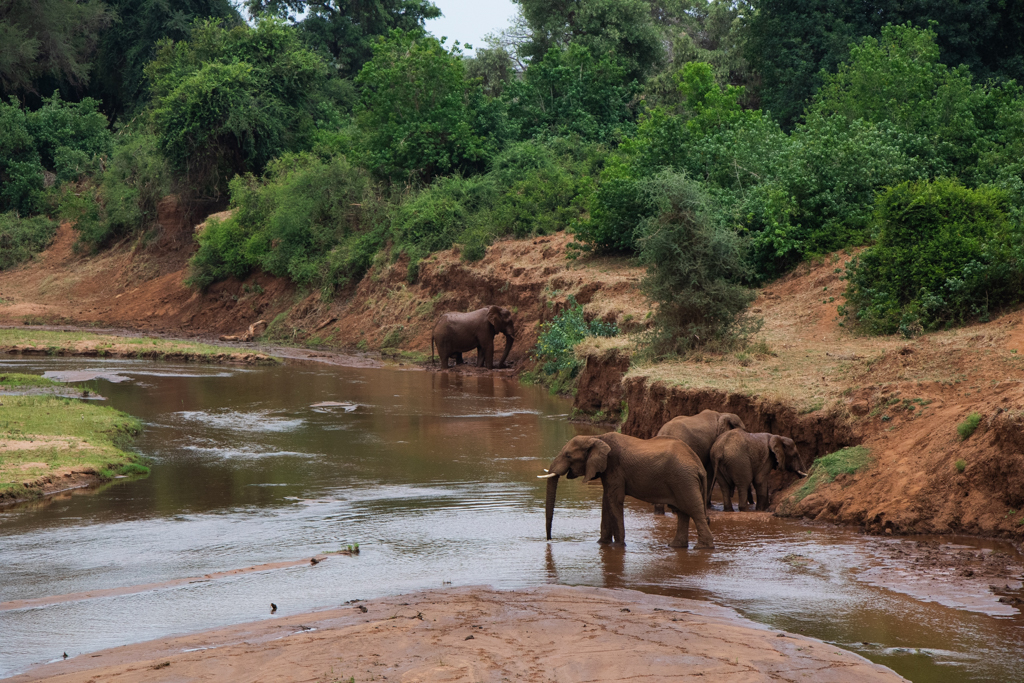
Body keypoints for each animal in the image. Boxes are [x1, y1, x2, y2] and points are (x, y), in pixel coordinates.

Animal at [540, 433, 715, 549]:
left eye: (568, 455)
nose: (549, 540)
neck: (597, 437)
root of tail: (699, 466)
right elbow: (606, 500)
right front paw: (602, 544)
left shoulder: (614, 466)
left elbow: (613, 500)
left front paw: (618, 546)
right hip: (682, 481)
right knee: (683, 512)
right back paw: (675, 546)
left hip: (684, 480)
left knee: (694, 511)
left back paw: (702, 548)